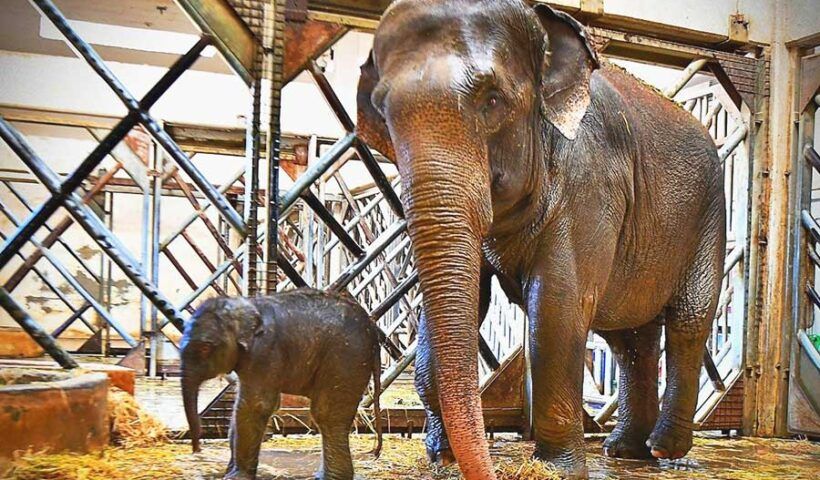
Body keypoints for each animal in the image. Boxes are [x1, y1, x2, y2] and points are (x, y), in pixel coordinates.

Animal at [179, 289, 383, 480]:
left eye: (205, 348)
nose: (196, 450)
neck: (246, 305)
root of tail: (373, 333)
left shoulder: (264, 352)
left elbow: (254, 406)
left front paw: (234, 477)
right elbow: (242, 407)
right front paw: (230, 472)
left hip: (346, 359)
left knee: (327, 415)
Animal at [355, 1, 726, 479]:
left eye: (492, 100)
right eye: (382, 111)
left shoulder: (591, 179)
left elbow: (557, 304)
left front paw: (557, 469)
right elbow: (465, 298)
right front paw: (441, 456)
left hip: (708, 213)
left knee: (688, 319)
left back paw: (663, 449)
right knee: (629, 339)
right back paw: (625, 451)